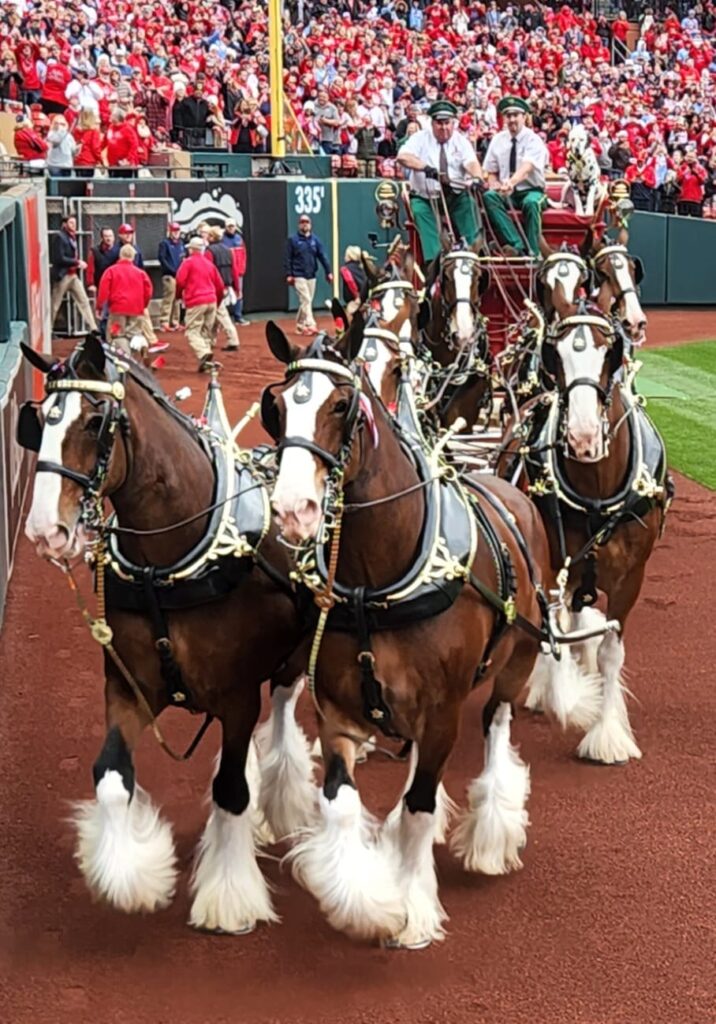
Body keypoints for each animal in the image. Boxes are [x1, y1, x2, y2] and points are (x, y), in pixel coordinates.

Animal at [18, 335, 315, 937]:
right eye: (38, 421)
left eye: (95, 422)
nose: (44, 530)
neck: (172, 564)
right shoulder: (128, 687)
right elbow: (110, 775)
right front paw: (134, 875)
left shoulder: (238, 697)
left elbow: (231, 790)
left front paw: (228, 898)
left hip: (293, 658)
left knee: (283, 712)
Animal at [260, 323, 569, 946]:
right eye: (276, 409)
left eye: (341, 405)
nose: (293, 509)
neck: (380, 584)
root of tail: (508, 488)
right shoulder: (339, 711)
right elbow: (341, 800)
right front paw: (365, 901)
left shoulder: (443, 712)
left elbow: (421, 805)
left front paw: (410, 906)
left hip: (516, 662)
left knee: (497, 724)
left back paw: (491, 834)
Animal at [497, 288, 671, 761]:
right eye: (554, 355)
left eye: (610, 352)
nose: (583, 437)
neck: (596, 493)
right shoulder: (554, 567)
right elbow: (555, 633)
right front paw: (570, 699)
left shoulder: (632, 578)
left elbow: (610, 651)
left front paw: (607, 732)